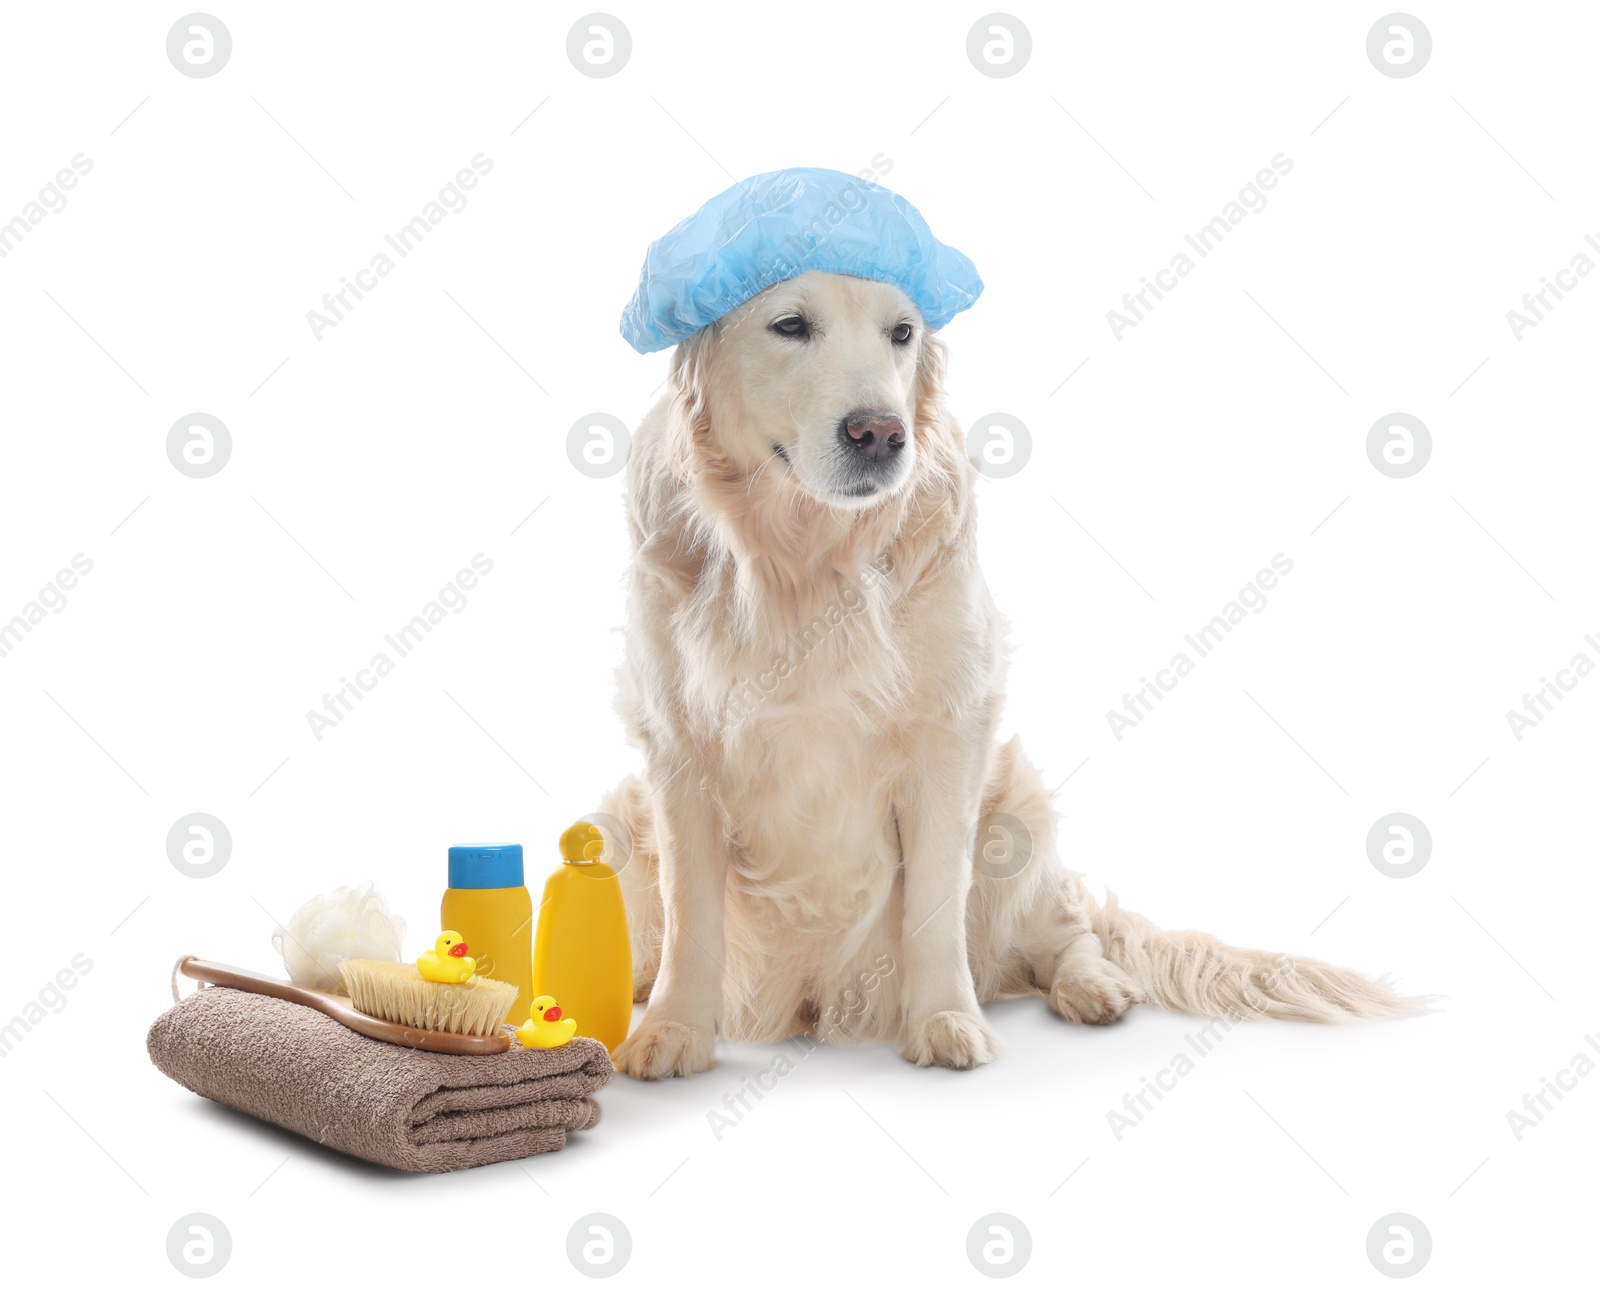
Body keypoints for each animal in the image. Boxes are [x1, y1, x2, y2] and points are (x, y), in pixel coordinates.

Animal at [601, 267, 1414, 1075]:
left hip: (1016, 815)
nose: (881, 433)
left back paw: (1094, 987)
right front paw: (673, 1028)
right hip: (617, 827)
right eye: (790, 325)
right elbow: (692, 913)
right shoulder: (678, 749)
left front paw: (944, 1020)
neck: (803, 561)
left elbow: (934, 908)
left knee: (1064, 931)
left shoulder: (949, 737)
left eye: (902, 333)